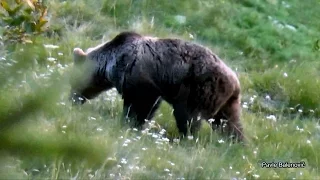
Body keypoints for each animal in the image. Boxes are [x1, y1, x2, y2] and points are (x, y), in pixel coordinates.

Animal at [70, 31, 244, 142]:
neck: (111, 63)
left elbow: (143, 103)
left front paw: (132, 124)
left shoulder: (139, 76)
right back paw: (236, 143)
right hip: (225, 101)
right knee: (230, 123)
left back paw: (184, 138)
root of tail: (235, 81)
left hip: (199, 89)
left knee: (187, 116)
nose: (72, 98)